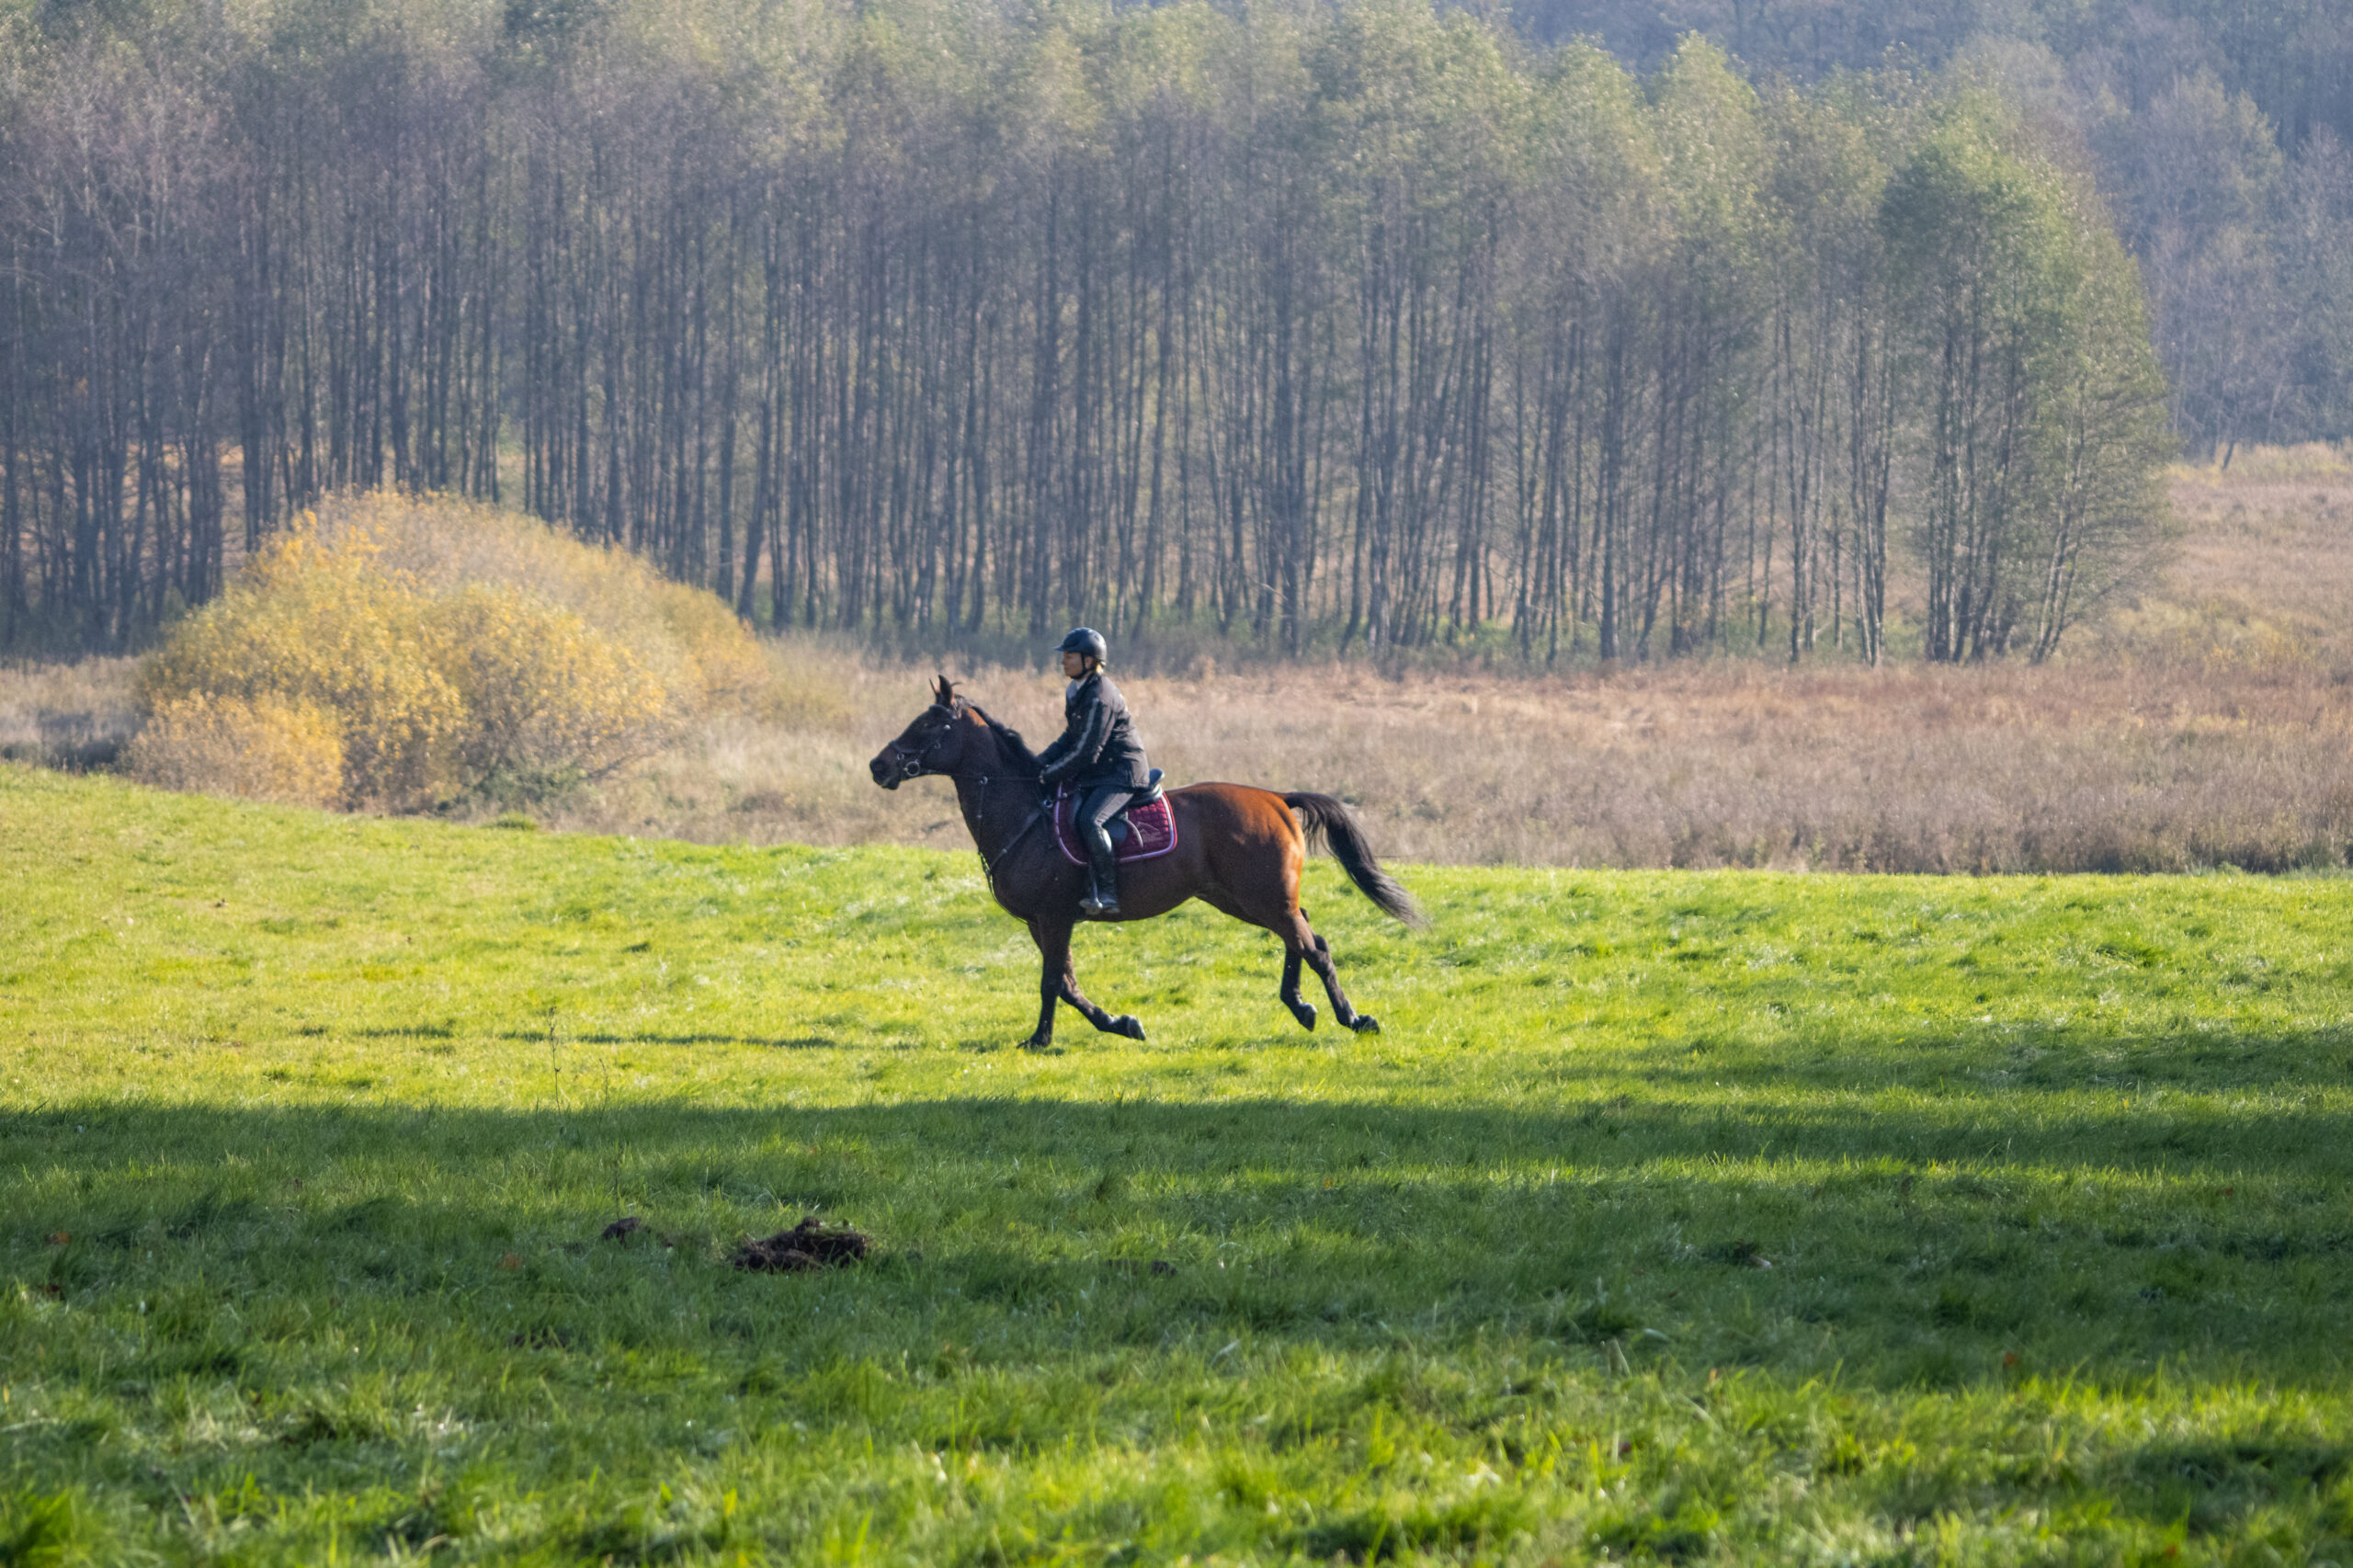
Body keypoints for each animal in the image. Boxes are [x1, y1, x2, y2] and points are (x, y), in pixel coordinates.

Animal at [875, 673, 1421, 1050]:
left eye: (928, 724)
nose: (878, 766)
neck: (1025, 811)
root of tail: (1276, 799)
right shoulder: (1041, 922)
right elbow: (1068, 983)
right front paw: (1122, 1024)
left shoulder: (1054, 916)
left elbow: (1053, 982)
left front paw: (1041, 1039)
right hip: (1244, 898)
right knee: (1302, 935)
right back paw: (1302, 1007)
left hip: (1261, 897)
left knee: (1315, 946)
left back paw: (1353, 1018)